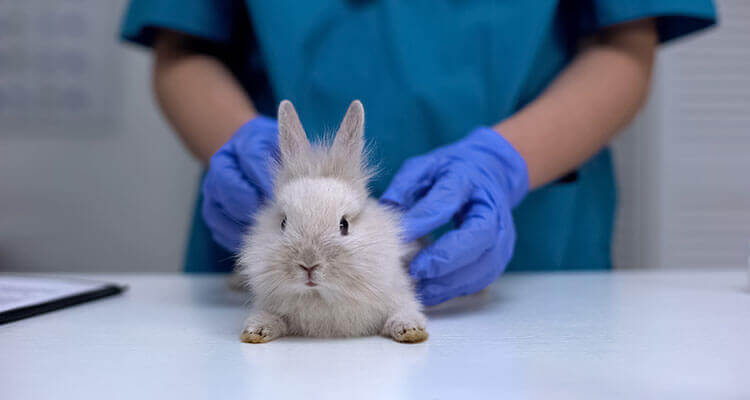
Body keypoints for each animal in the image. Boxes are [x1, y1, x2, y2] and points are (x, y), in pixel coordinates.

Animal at [238, 99, 432, 344]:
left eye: (344, 225)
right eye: (283, 223)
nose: (308, 264)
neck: (320, 297)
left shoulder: (399, 293)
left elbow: (404, 311)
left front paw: (411, 331)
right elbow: (269, 317)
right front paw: (255, 331)